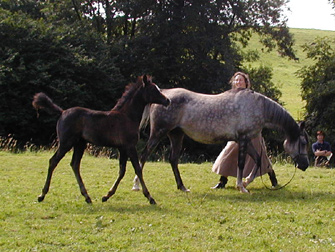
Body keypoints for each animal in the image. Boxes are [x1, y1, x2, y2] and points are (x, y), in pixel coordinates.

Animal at [32, 75, 171, 205]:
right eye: (153, 89)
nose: (167, 100)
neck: (127, 117)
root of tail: (62, 112)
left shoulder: (122, 148)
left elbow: (122, 171)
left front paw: (106, 196)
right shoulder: (130, 147)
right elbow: (137, 169)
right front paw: (150, 197)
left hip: (80, 144)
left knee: (75, 164)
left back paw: (87, 197)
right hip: (66, 143)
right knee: (53, 161)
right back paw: (42, 195)